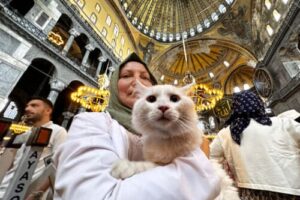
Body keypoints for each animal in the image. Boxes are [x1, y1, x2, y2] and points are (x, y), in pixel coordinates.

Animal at [110, 82, 239, 199]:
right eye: (151, 99)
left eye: (174, 98)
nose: (163, 107)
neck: (166, 139)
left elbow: (147, 166)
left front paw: (125, 166)